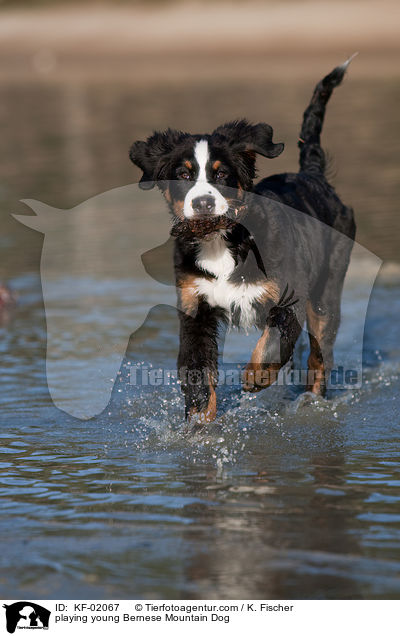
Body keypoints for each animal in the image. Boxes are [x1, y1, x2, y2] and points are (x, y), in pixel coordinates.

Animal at [130, 60, 356, 428]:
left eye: (221, 174)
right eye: (183, 174)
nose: (203, 203)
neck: (220, 242)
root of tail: (313, 174)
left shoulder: (289, 296)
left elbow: (273, 341)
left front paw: (255, 376)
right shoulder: (194, 306)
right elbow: (197, 367)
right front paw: (199, 422)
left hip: (327, 288)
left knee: (320, 354)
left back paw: (311, 402)